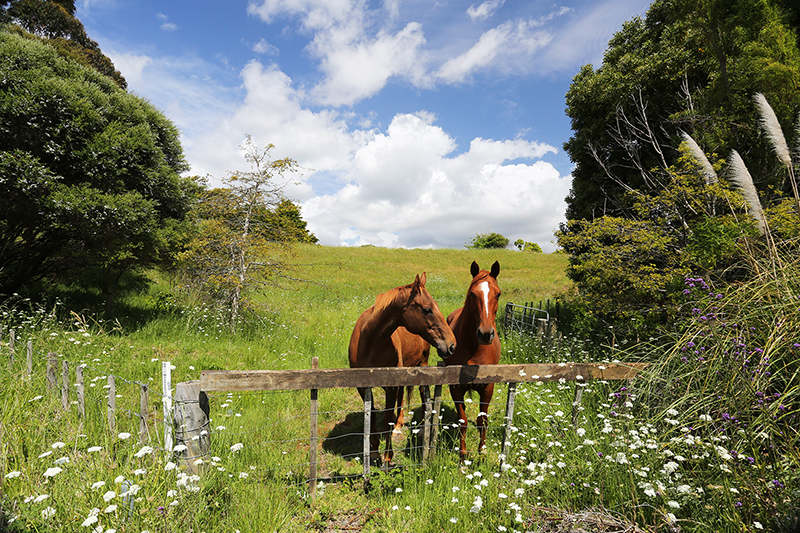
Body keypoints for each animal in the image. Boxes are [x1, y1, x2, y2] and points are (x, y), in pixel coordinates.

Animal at [350, 274, 456, 466]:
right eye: (427, 309)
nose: (452, 345)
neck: (370, 341)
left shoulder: (391, 385)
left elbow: (386, 419)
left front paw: (387, 457)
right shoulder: (362, 387)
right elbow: (373, 417)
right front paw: (375, 452)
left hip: (421, 365)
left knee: (421, 394)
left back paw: (418, 427)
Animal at [444, 260, 500, 460]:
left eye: (498, 294)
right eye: (472, 294)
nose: (485, 334)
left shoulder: (488, 387)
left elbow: (482, 420)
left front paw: (482, 453)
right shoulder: (455, 388)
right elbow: (463, 420)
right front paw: (463, 457)